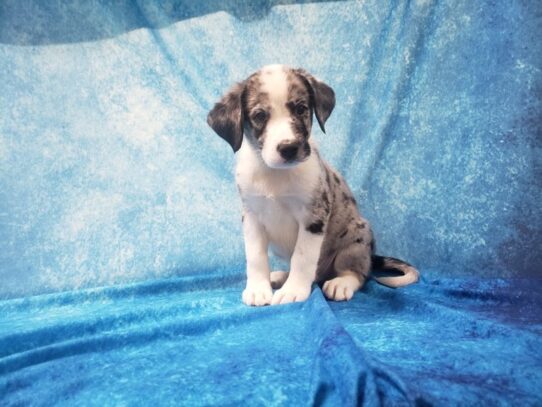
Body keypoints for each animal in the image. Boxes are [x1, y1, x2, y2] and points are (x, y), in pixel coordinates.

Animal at [208, 63, 420, 306]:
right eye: (260, 115)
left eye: (301, 108)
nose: (289, 148)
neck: (275, 175)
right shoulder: (252, 217)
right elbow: (255, 257)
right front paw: (258, 289)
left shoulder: (313, 218)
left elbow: (302, 257)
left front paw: (293, 291)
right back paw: (279, 277)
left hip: (357, 237)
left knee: (358, 274)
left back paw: (340, 283)